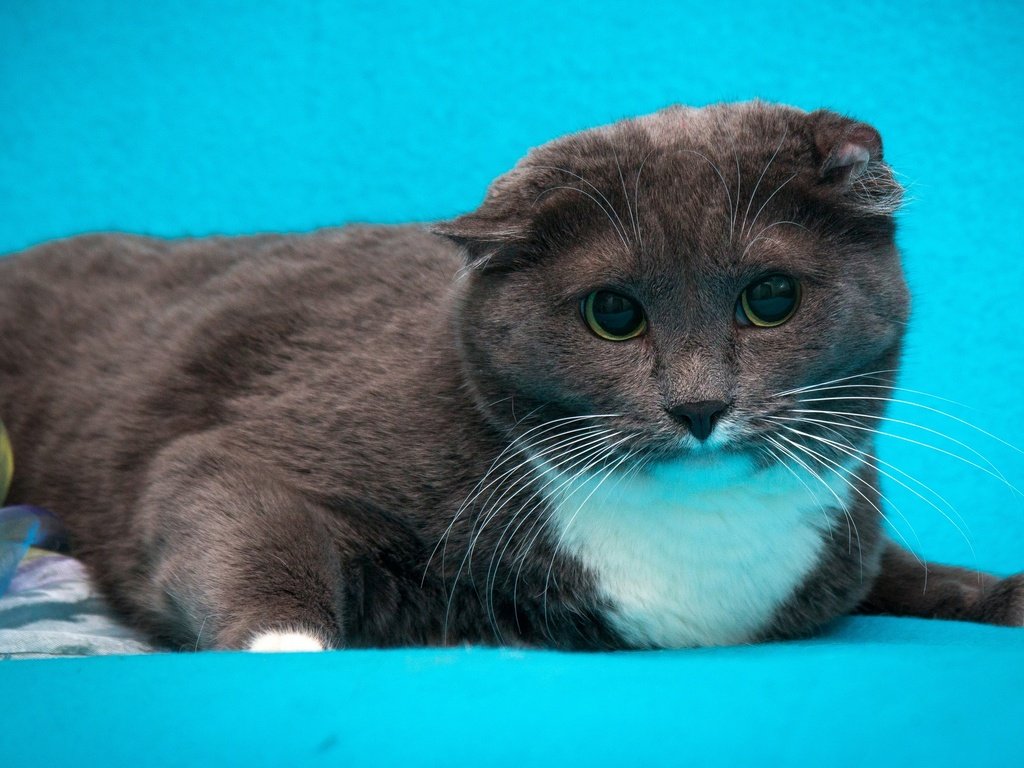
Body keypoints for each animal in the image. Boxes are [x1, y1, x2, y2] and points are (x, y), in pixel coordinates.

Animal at [0, 99, 1019, 651]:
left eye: (770, 298)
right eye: (614, 314)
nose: (699, 404)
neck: (699, 548)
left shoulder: (849, 542)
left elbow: (918, 574)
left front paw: (1002, 594)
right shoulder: (253, 442)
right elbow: (230, 505)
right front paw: (290, 645)